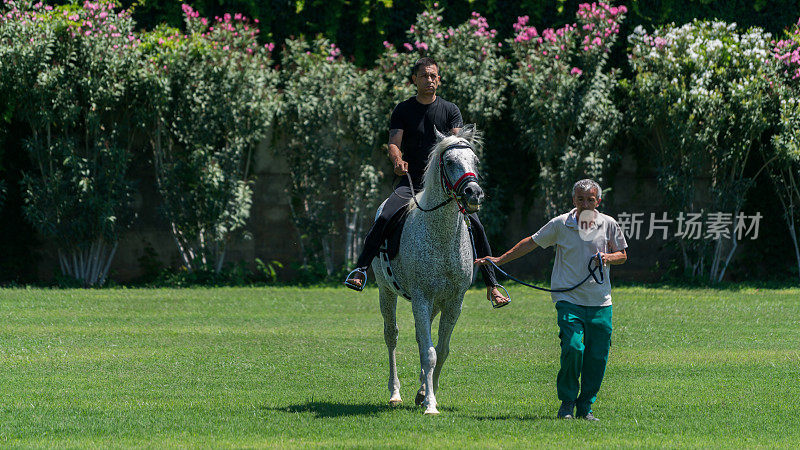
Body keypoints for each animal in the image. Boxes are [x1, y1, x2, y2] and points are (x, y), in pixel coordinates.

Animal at [372, 124, 484, 414]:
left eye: (475, 161)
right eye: (450, 162)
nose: (474, 193)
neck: (441, 235)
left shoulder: (453, 301)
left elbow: (440, 350)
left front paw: (426, 394)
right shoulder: (421, 298)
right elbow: (429, 352)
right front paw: (430, 404)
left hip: (433, 304)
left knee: (421, 338)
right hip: (386, 293)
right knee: (391, 336)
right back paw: (395, 393)